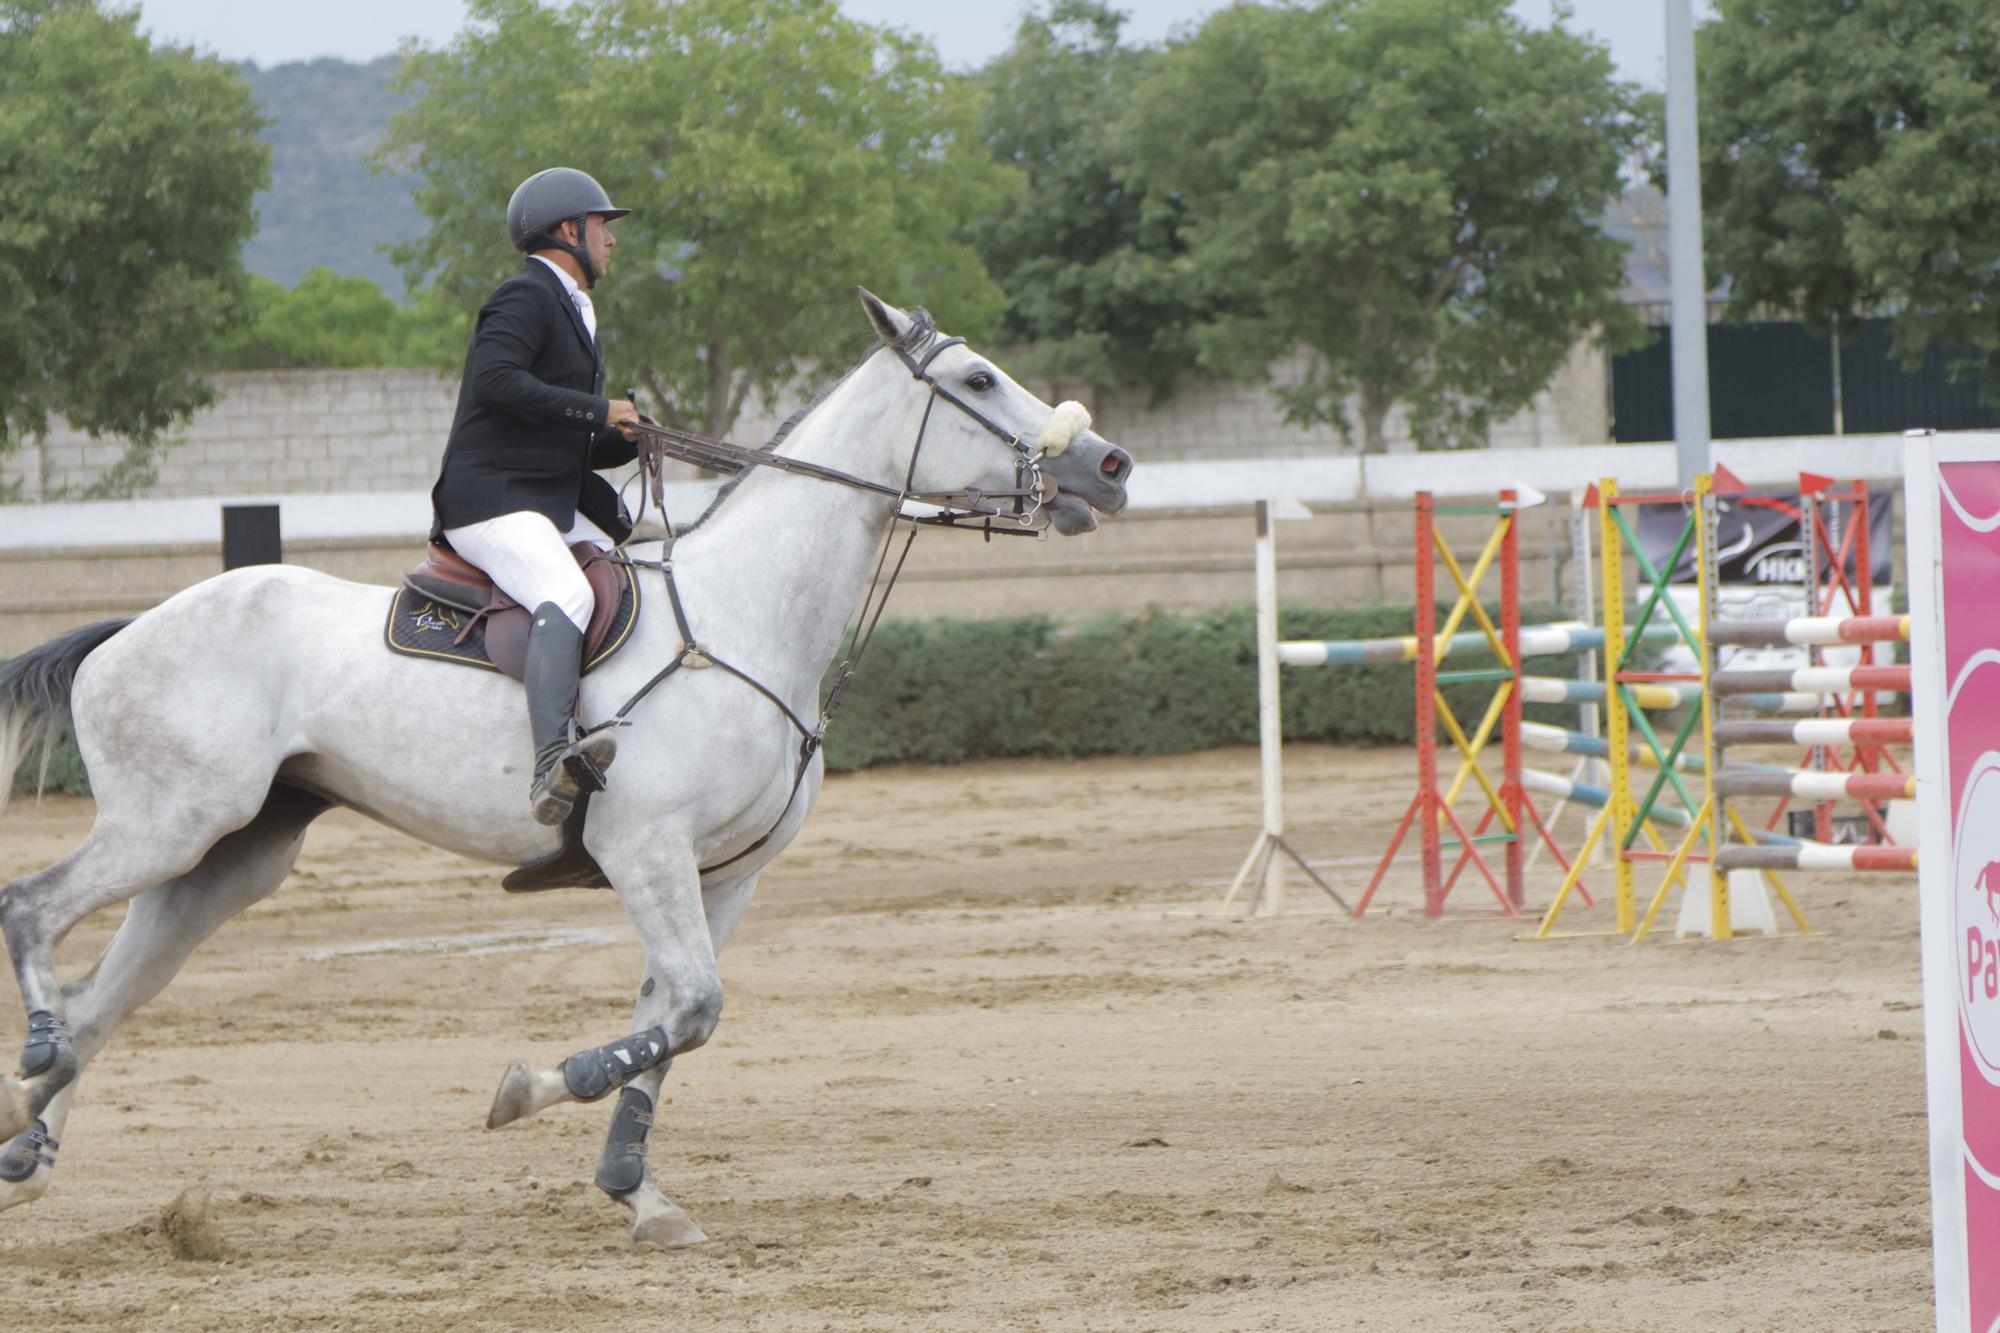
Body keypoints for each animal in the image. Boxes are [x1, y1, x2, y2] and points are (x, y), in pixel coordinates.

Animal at [0, 290, 1136, 1248]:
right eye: (980, 379)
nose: (1112, 467)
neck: (744, 617)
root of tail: (122, 632)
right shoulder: (645, 848)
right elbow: (689, 1010)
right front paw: (533, 1089)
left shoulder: (722, 875)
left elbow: (669, 1021)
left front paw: (638, 1191)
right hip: (173, 822)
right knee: (35, 910)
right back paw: (34, 1061)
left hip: (228, 858)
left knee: (105, 999)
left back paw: (30, 1142)